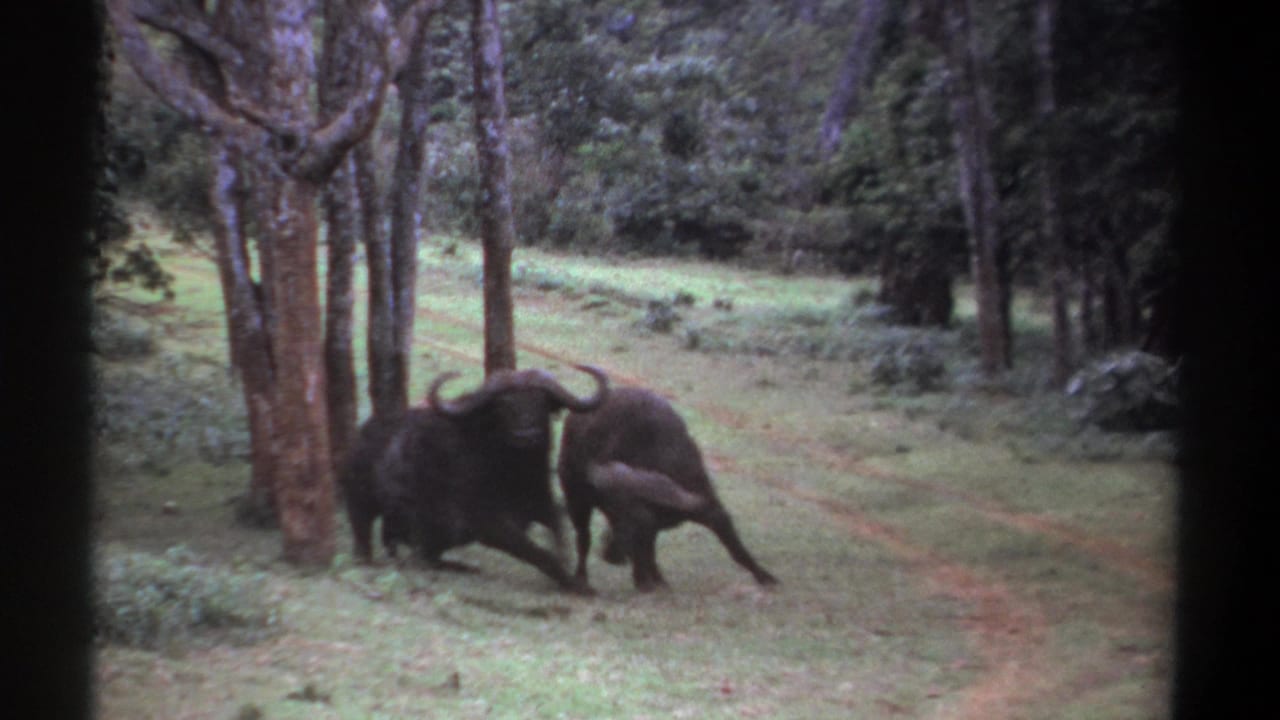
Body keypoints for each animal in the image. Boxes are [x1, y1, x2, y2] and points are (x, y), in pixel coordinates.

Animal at [339, 365, 608, 594]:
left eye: (540, 402)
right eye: (503, 406)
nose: (526, 436)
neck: (516, 474)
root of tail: (359, 439)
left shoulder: (540, 502)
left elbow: (559, 527)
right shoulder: (489, 524)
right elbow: (539, 553)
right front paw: (576, 585)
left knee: (418, 552)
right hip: (362, 506)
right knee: (372, 542)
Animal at [558, 387, 778, 591]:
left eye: (634, 523)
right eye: (615, 515)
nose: (610, 556)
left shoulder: (705, 504)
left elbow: (736, 548)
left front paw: (765, 576)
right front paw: (646, 580)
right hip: (575, 499)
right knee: (583, 539)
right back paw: (581, 578)